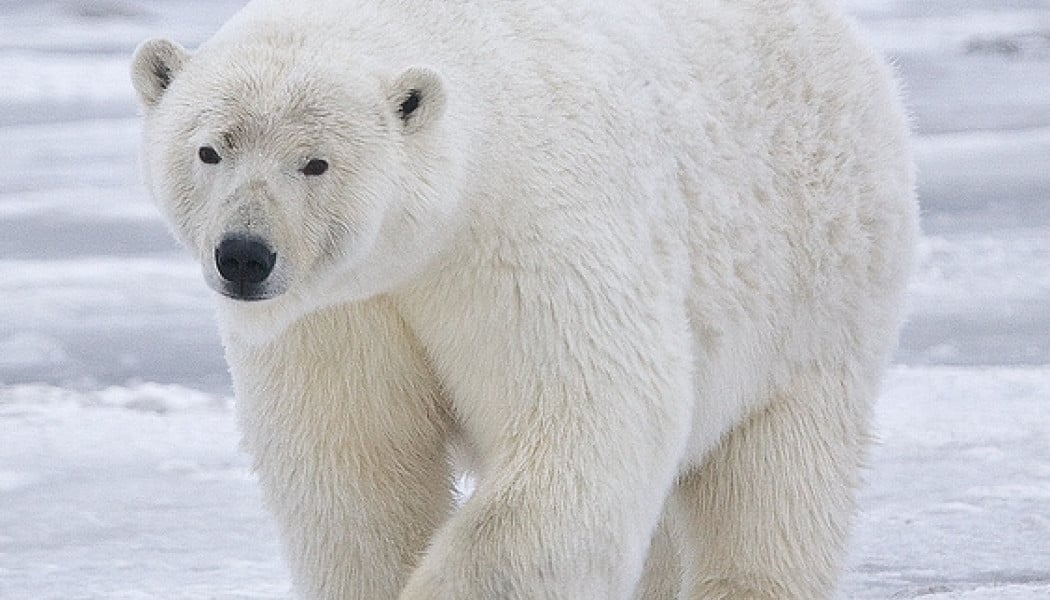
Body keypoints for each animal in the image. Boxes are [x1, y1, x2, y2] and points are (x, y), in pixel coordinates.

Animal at [133, 1, 919, 596]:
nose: (244, 255)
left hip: (818, 279)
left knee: (777, 479)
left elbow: (584, 428)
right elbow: (356, 466)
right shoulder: (339, 313)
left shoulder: (530, 236)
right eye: (210, 149)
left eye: (315, 162)